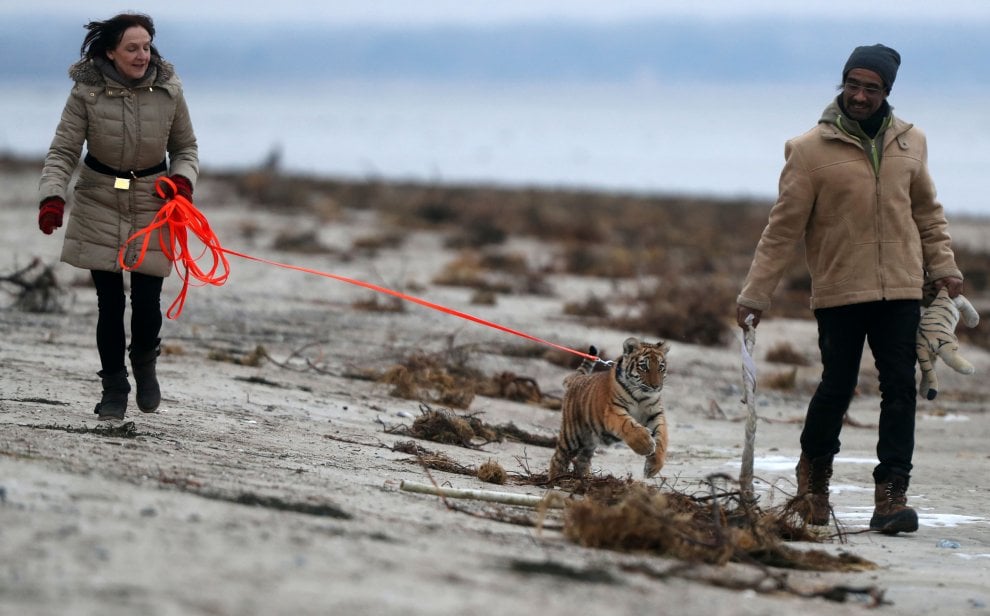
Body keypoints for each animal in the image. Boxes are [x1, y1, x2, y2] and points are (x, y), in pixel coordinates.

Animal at [548, 337, 670, 481]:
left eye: (660, 367)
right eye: (644, 366)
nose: (656, 386)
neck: (641, 396)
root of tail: (577, 378)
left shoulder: (656, 414)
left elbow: (662, 437)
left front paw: (653, 466)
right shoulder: (614, 410)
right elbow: (629, 426)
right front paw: (646, 445)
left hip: (589, 441)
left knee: (582, 461)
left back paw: (585, 478)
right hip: (572, 436)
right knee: (558, 458)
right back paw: (555, 479)